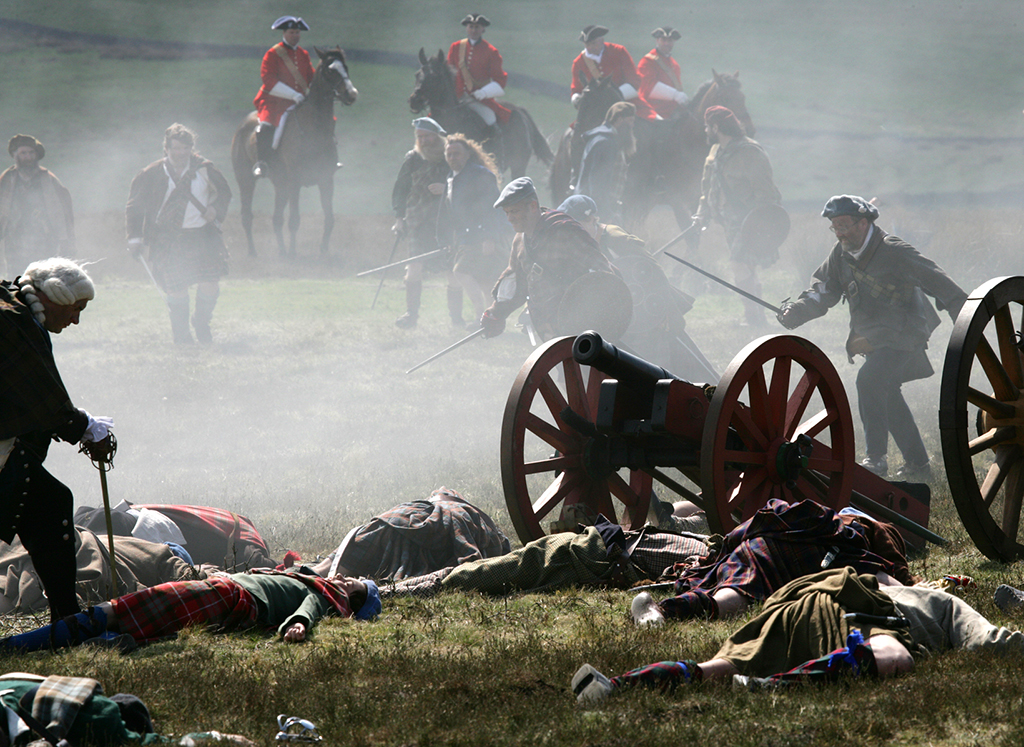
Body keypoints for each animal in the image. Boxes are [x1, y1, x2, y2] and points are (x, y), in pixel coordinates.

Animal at [230, 47, 358, 256]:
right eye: (330, 71)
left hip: (281, 184)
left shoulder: (326, 180)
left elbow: (329, 218)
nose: (352, 94)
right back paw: (253, 252)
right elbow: (294, 220)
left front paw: (323, 252)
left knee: (276, 218)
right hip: (246, 179)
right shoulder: (295, 182)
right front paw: (293, 254)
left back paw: (281, 250)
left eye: (345, 67)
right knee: (247, 216)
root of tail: (243, 124)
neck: (314, 130)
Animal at [548, 70, 757, 233]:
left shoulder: (689, 200)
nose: (576, 140)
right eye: (580, 102)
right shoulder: (674, 201)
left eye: (743, 98)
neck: (685, 142)